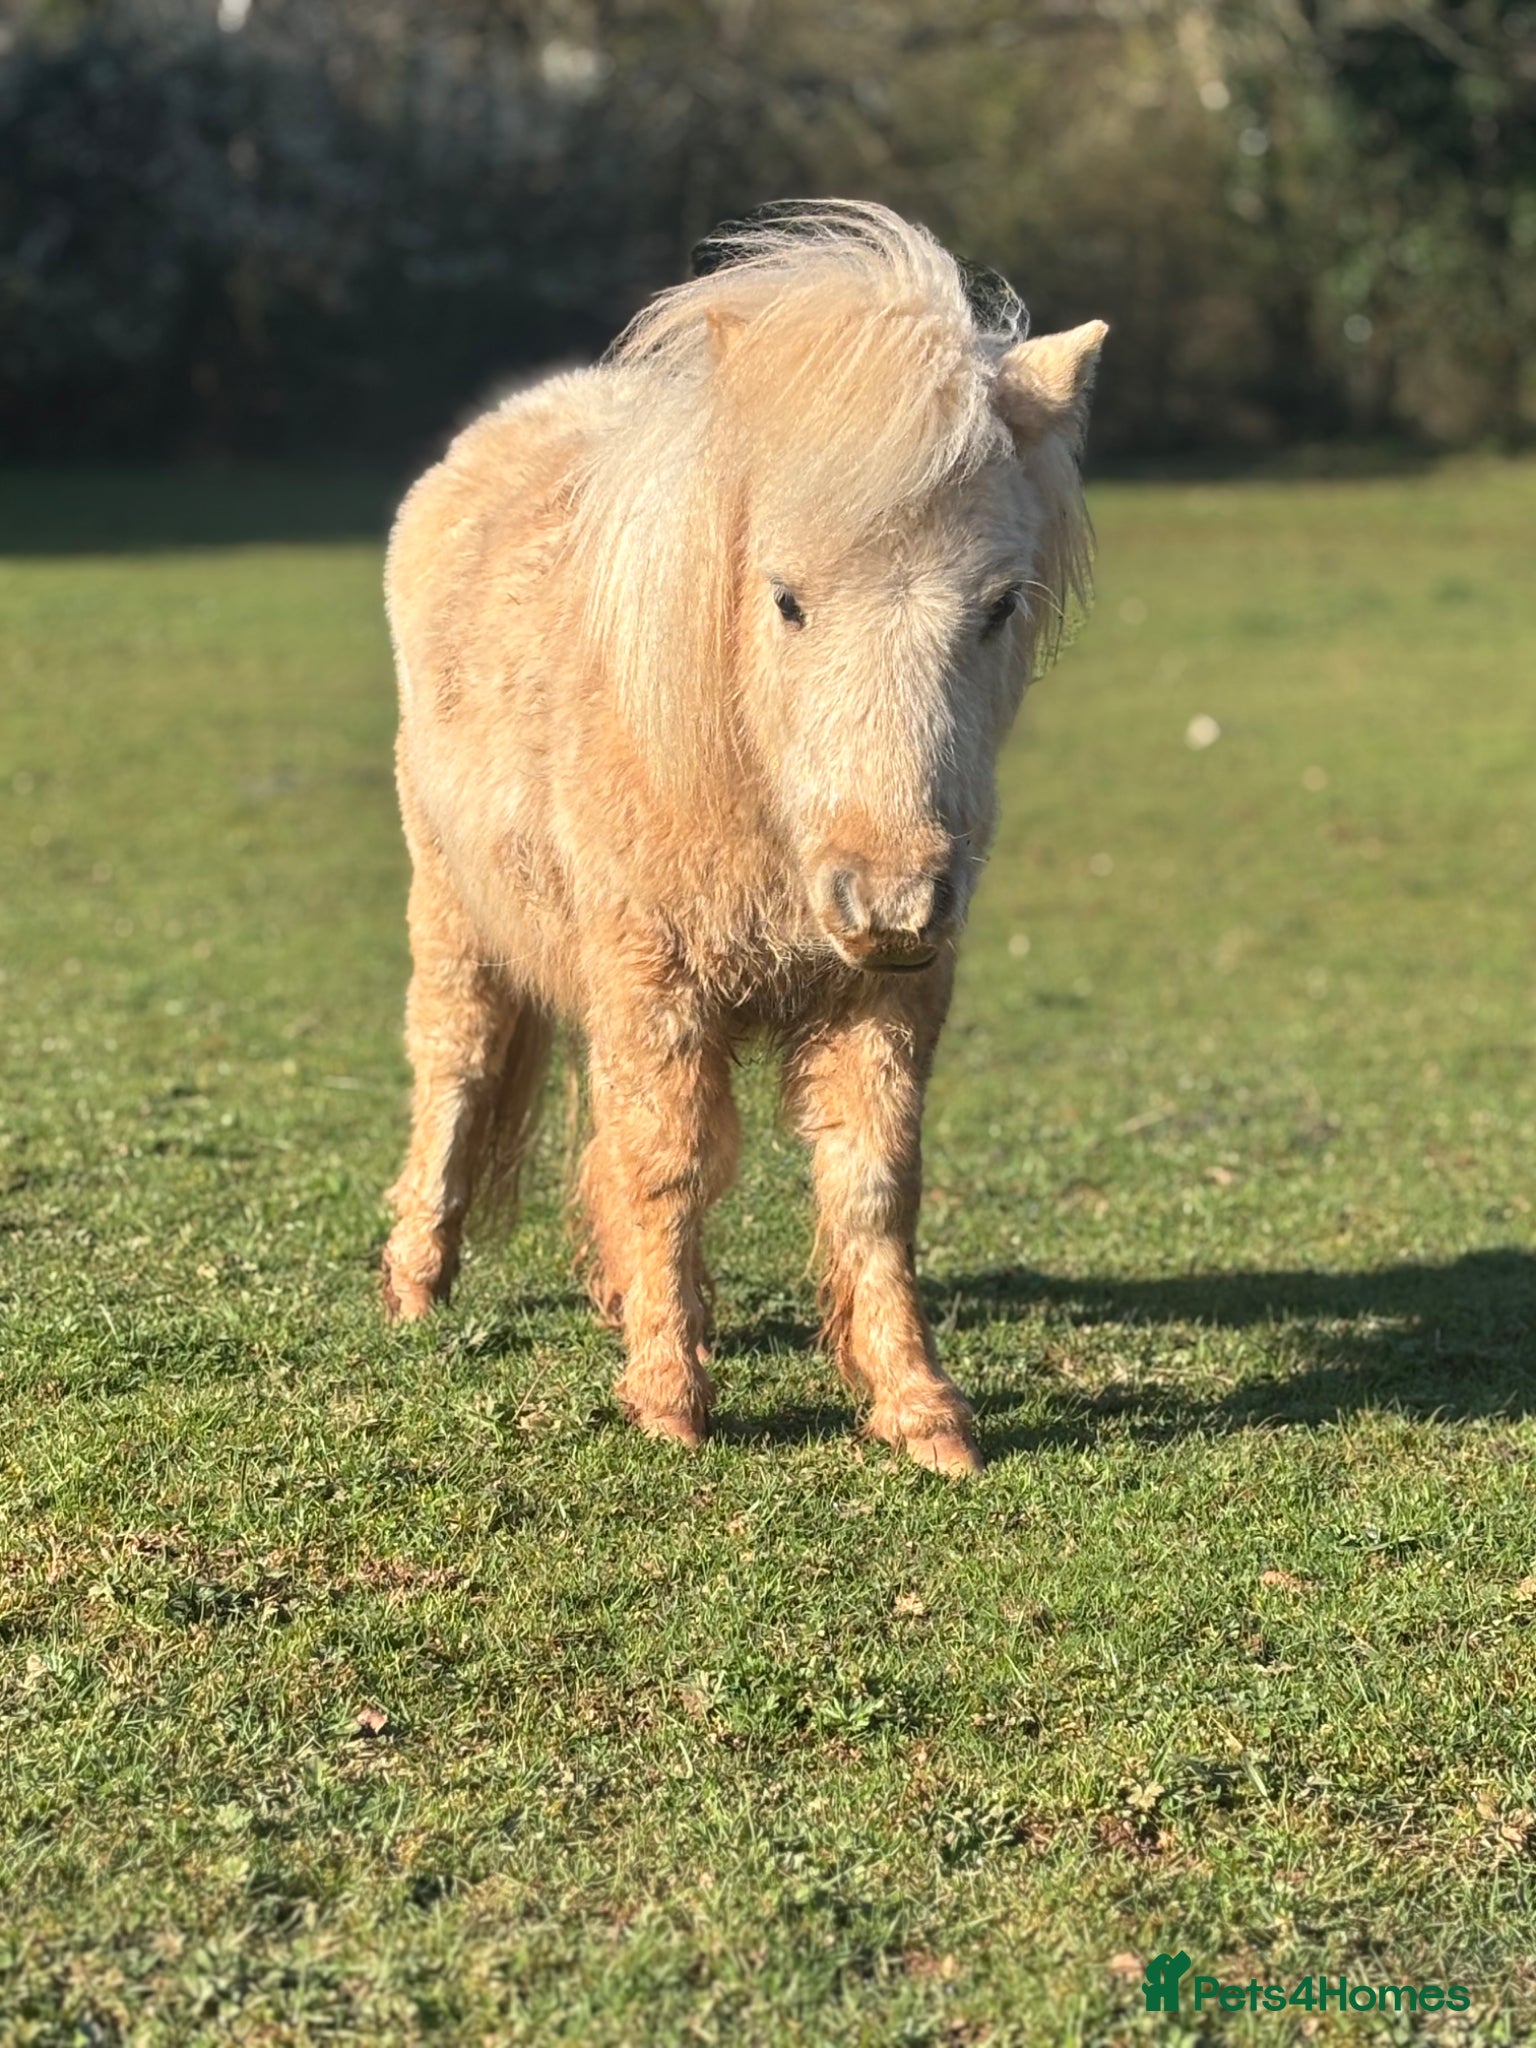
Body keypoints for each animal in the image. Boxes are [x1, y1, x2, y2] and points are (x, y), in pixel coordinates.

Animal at [380, 201, 1106, 1477]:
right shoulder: (653, 972)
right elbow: (669, 1164)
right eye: (786, 598)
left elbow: (872, 1180)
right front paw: (672, 1398)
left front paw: (919, 1405)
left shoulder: (886, 992)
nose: (890, 899)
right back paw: (418, 1283)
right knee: (456, 1068)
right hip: (457, 911)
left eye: (999, 604)